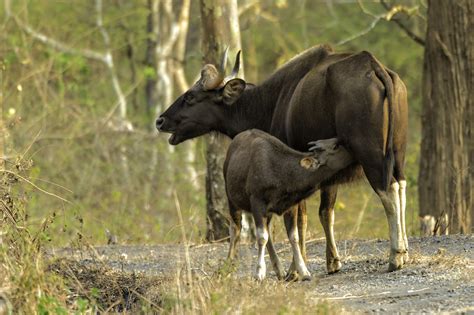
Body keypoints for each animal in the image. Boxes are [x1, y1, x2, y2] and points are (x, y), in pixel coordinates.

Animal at [224, 130, 354, 282]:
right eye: (335, 146)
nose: (353, 151)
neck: (282, 172)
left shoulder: (290, 207)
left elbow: (293, 236)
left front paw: (303, 271)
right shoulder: (257, 203)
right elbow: (261, 237)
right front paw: (259, 273)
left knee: (267, 233)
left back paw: (279, 269)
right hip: (232, 201)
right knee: (235, 229)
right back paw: (228, 266)